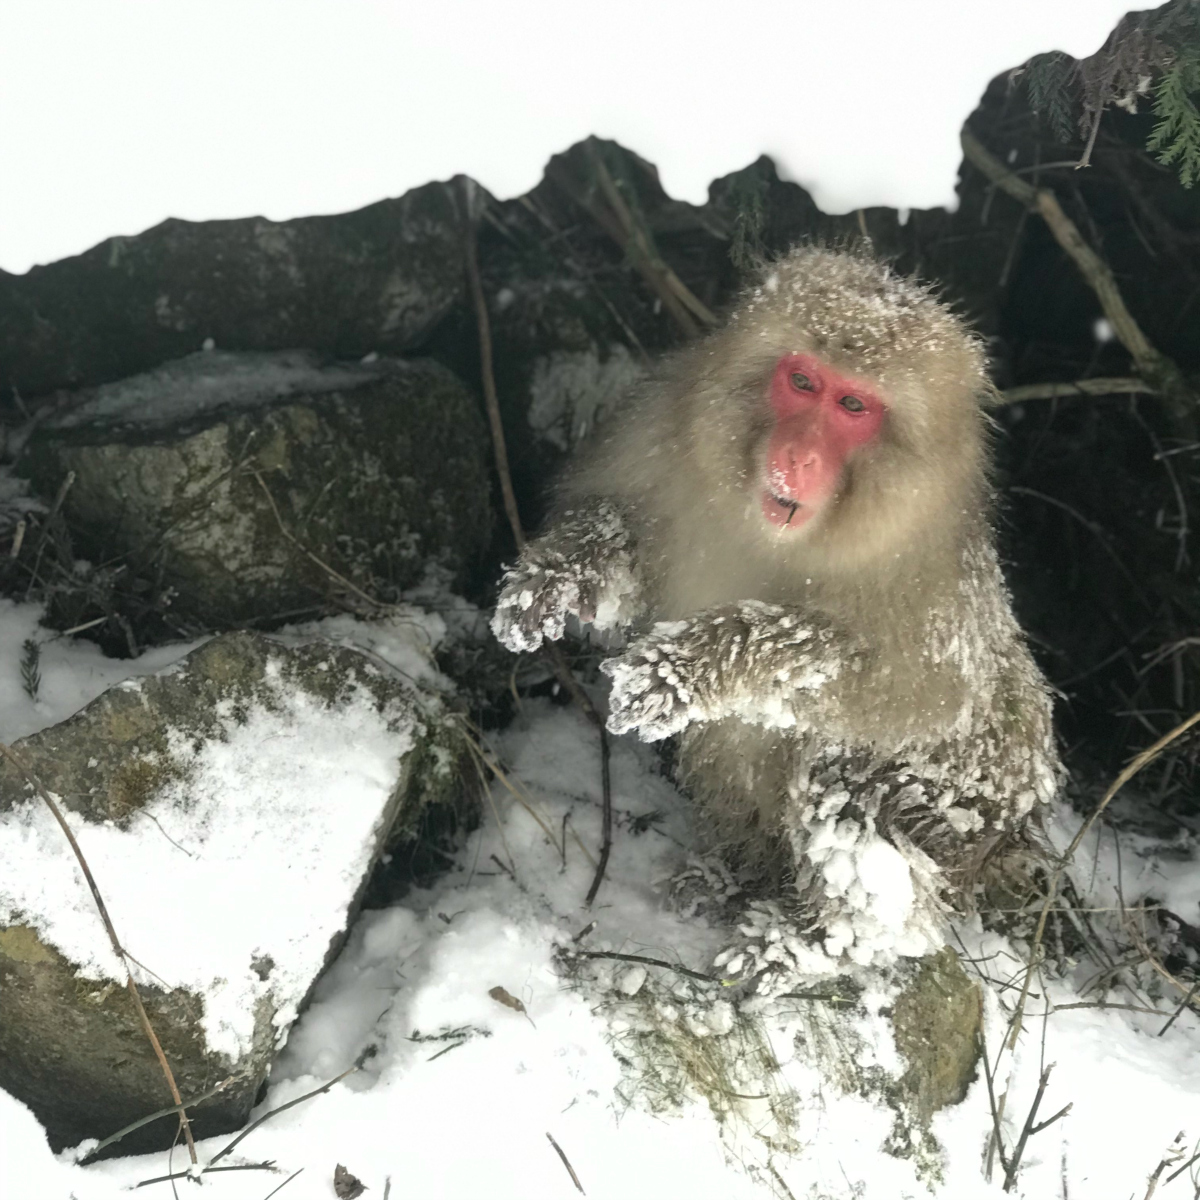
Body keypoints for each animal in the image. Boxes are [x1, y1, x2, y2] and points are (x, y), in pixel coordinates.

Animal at [492, 246, 1059, 972]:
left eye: (853, 404)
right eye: (802, 382)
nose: (798, 455)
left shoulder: (930, 586)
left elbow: (912, 697)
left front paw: (690, 664)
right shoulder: (662, 437)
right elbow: (623, 541)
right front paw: (562, 570)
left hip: (974, 814)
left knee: (850, 783)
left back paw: (815, 944)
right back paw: (732, 872)